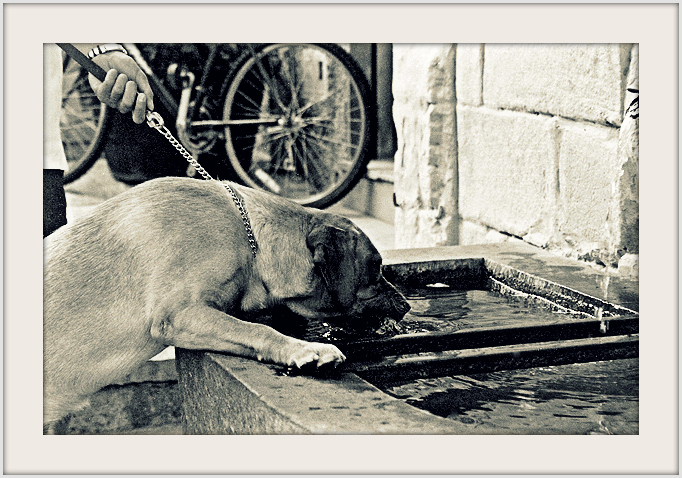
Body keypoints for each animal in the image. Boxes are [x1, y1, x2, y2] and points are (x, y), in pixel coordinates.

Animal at [43, 176, 410, 426]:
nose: (406, 306)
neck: (250, 240)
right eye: (375, 267)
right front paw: (305, 349)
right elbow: (259, 331)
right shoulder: (180, 314)